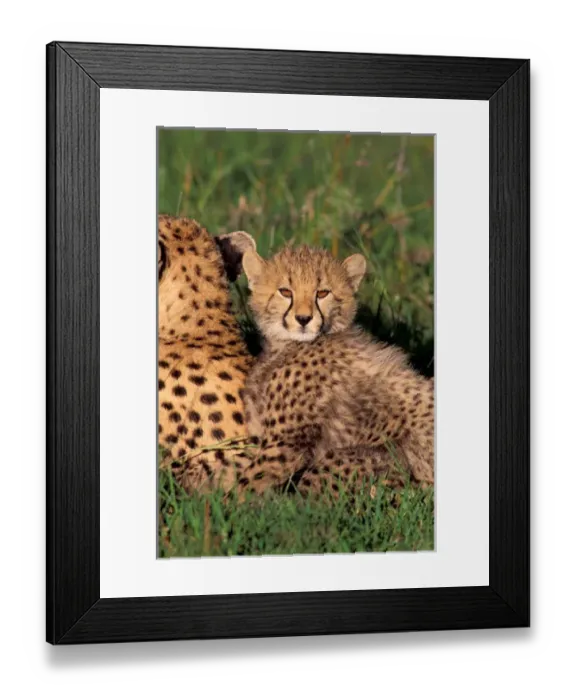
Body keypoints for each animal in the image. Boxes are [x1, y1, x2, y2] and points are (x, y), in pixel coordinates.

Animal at [176, 242, 434, 497]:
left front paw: (226, 503)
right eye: (285, 292)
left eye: (322, 293)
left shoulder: (285, 444)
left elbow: (249, 482)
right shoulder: (261, 434)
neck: (287, 345)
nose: (303, 319)